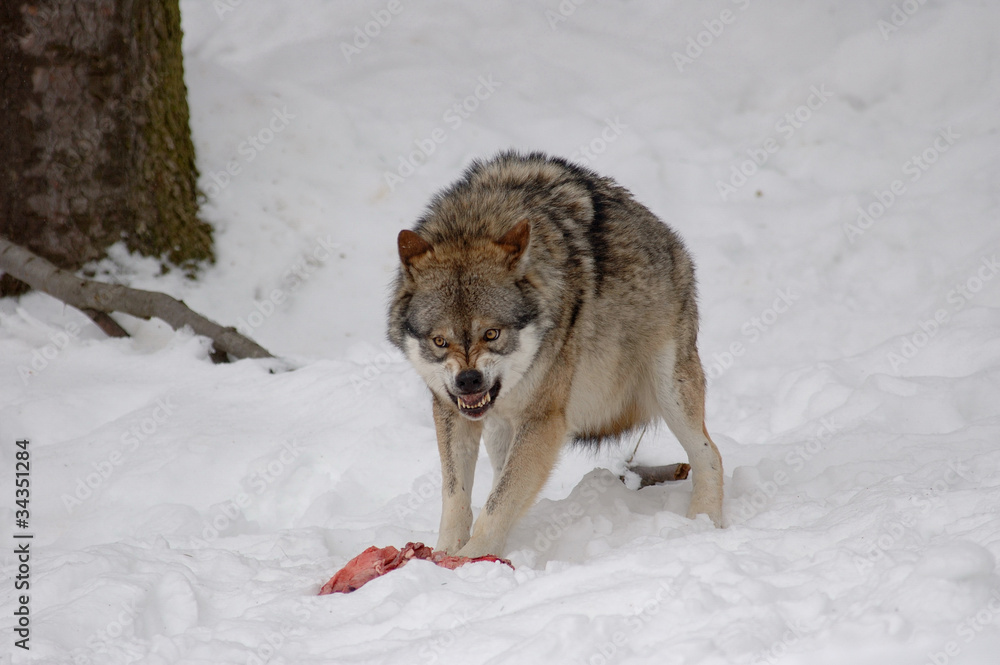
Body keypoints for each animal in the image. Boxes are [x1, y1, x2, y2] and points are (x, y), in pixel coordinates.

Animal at [388, 151, 724, 558]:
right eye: (440, 341)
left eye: (491, 334)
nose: (468, 380)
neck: (478, 220)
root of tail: (670, 239)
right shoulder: (451, 411)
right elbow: (458, 495)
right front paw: (444, 554)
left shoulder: (543, 421)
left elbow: (498, 505)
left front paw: (470, 561)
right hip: (500, 428)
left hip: (669, 392)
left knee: (710, 455)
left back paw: (704, 524)